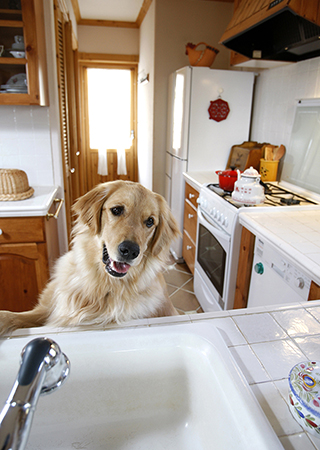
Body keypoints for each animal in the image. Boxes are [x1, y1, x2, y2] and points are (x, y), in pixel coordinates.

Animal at [0, 180, 180, 334]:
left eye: (150, 221)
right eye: (116, 210)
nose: (130, 250)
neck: (102, 285)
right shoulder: (51, 307)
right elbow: (19, 315)